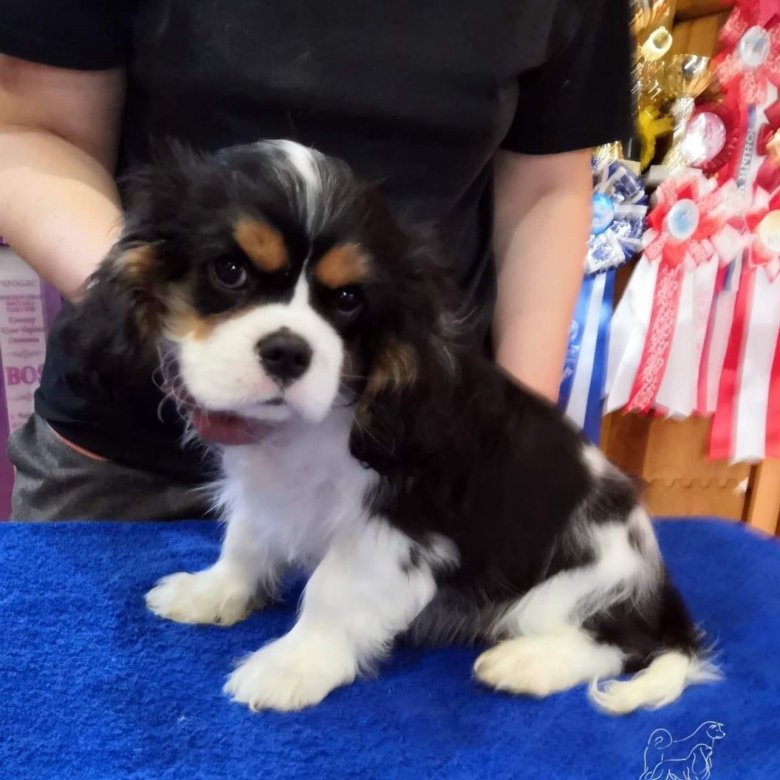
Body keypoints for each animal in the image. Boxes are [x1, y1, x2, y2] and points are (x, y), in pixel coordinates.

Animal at [65, 140, 719, 713]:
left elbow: (334, 590)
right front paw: (213, 592)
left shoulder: (398, 524)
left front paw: (292, 665)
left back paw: (526, 664)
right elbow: (246, 540)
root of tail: (664, 601)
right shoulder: (267, 490)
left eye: (348, 300)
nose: (288, 351)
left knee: (618, 645)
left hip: (576, 586)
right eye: (229, 272)